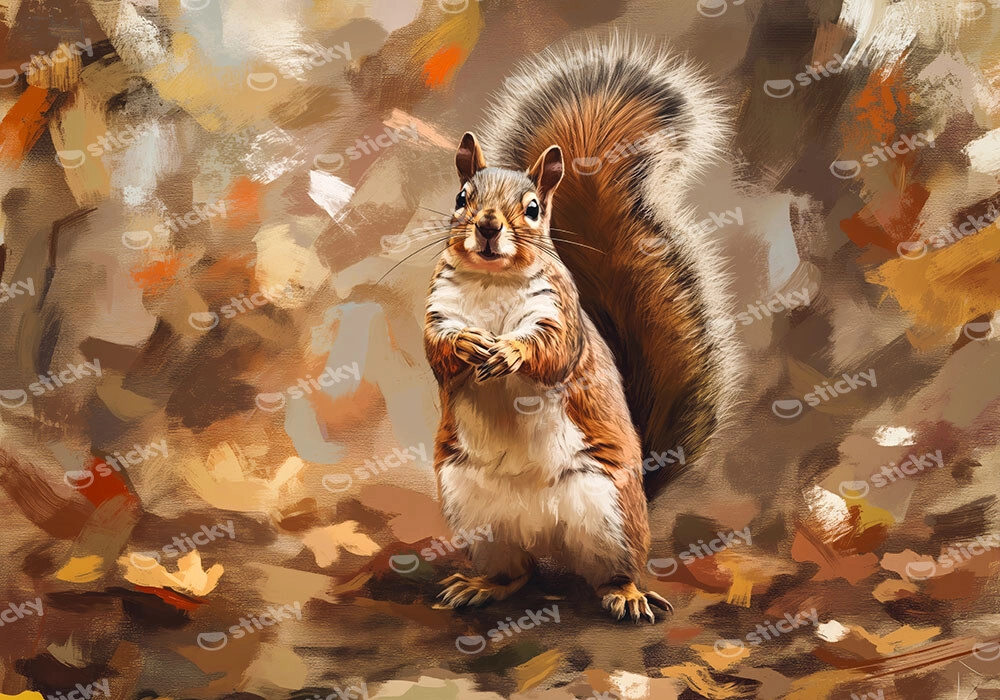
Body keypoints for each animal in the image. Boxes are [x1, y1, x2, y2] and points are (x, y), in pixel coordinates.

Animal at [423, 35, 738, 622]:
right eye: (461, 198)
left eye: (532, 208)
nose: (488, 227)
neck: (492, 282)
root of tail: (546, 542)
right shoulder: (438, 309)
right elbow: (437, 348)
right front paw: (469, 345)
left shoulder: (561, 315)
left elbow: (552, 353)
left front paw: (509, 353)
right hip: (477, 516)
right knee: (514, 572)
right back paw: (480, 586)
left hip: (608, 514)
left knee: (612, 571)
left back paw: (628, 595)